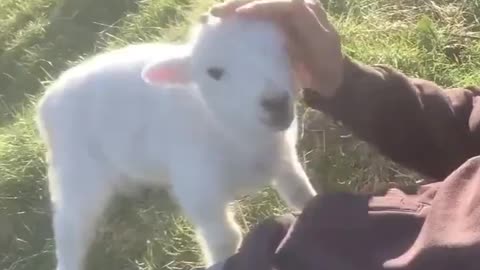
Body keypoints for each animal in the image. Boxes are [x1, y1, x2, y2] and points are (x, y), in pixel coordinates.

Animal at [34, 14, 318, 270]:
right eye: (214, 72)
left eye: (284, 49)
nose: (275, 103)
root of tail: (47, 99)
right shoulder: (199, 190)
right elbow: (225, 238)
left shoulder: (284, 160)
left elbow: (300, 194)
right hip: (76, 172)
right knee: (70, 226)